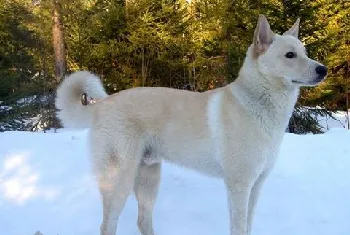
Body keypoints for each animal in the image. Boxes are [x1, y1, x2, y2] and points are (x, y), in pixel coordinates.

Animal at [55, 14, 328, 235]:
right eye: (290, 55)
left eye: (305, 53)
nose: (323, 70)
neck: (257, 103)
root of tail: (102, 104)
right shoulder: (239, 185)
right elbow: (239, 228)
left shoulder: (256, 186)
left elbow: (248, 226)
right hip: (119, 181)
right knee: (107, 226)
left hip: (148, 180)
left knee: (143, 221)